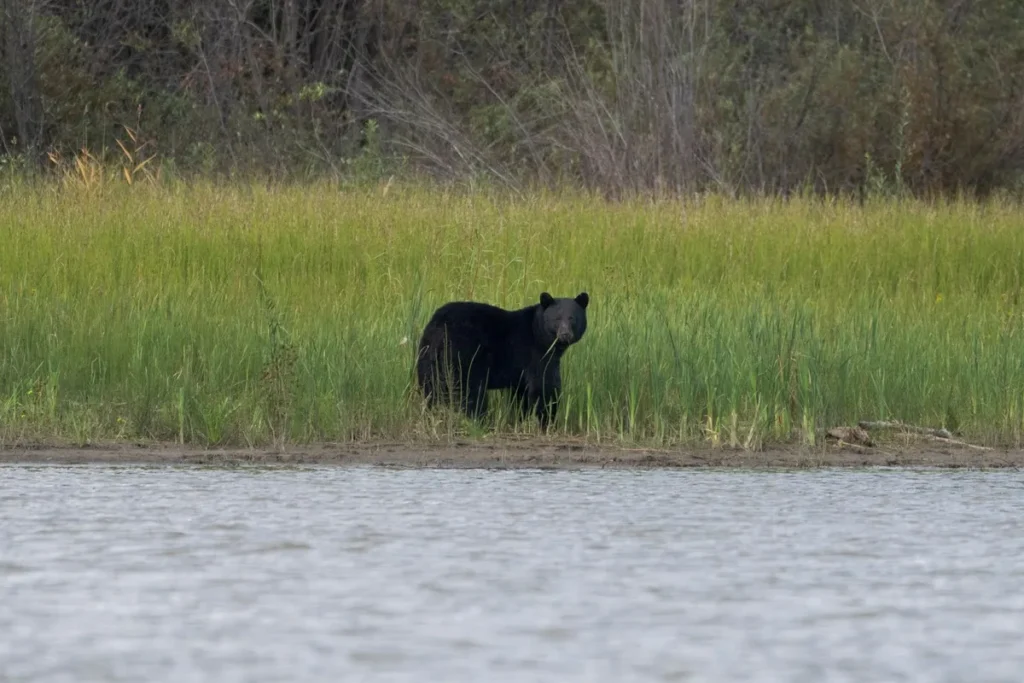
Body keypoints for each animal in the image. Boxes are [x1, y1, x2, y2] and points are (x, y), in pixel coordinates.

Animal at [416, 291, 590, 429]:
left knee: (431, 388)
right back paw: (480, 422)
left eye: (572, 318)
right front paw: (547, 422)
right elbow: (544, 387)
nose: (565, 335)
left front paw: (522, 420)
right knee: (469, 392)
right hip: (463, 356)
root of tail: (439, 326)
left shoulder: (521, 372)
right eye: (557, 318)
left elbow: (522, 394)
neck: (538, 332)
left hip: (428, 355)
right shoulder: (536, 354)